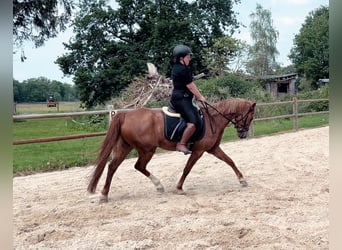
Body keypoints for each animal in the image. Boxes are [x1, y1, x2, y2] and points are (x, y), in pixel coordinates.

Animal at [87, 96, 255, 202]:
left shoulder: (213, 148)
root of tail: (125, 116)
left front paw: (242, 180)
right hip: (147, 149)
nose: (242, 134)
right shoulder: (198, 151)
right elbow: (187, 168)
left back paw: (104, 195)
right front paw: (179, 187)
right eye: (251, 116)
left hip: (126, 147)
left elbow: (230, 161)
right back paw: (158, 185)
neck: (212, 119)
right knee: (138, 166)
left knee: (113, 167)